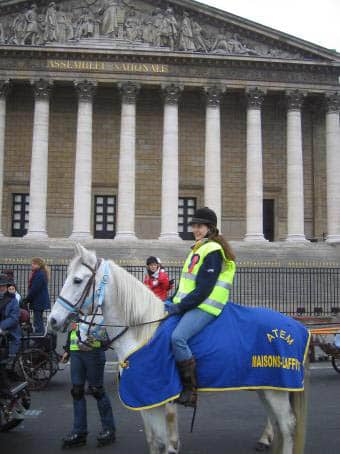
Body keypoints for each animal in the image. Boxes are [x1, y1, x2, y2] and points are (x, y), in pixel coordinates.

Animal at [48, 245, 310, 454]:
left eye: (77, 280)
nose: (52, 320)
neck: (143, 331)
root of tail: (298, 325)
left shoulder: (162, 396)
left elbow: (167, 442)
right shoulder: (145, 399)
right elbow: (154, 440)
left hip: (276, 386)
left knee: (287, 425)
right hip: (267, 385)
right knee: (276, 422)